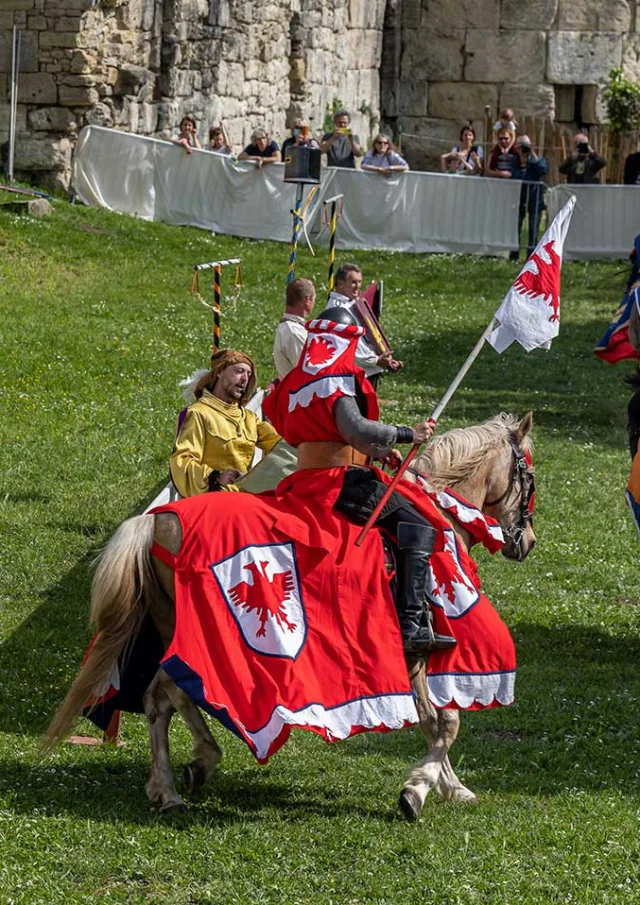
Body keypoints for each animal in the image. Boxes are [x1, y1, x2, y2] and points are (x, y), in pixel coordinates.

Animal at [46, 414, 536, 824]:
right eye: (528, 476)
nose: (526, 542)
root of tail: (158, 522)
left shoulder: (408, 659)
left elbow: (438, 722)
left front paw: (450, 787)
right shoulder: (417, 651)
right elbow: (445, 723)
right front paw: (418, 790)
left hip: (173, 632)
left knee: (164, 695)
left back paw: (186, 772)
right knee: (165, 695)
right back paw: (176, 784)